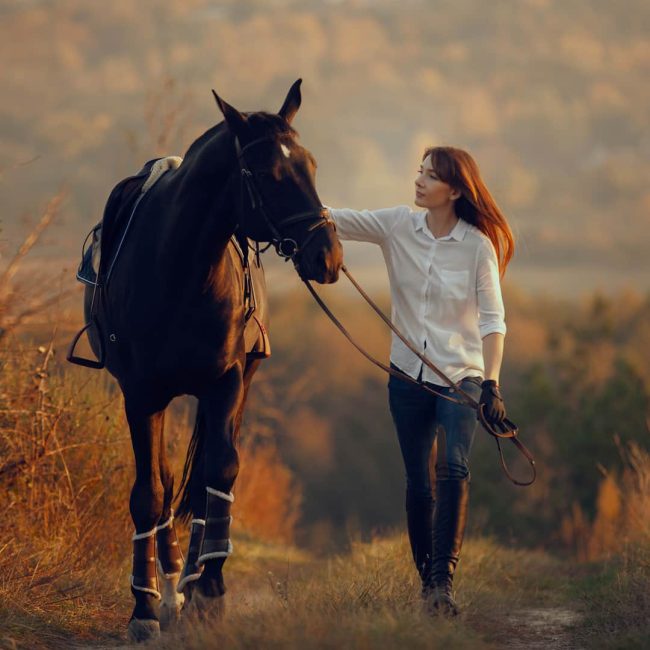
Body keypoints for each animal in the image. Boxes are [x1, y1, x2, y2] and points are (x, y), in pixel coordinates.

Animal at [78, 79, 342, 636]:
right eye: (268, 174)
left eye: (310, 165)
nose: (327, 256)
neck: (179, 270)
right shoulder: (142, 395)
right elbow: (150, 493)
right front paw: (144, 607)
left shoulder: (227, 384)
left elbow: (218, 474)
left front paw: (211, 590)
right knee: (166, 481)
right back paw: (173, 585)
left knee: (202, 483)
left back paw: (193, 580)